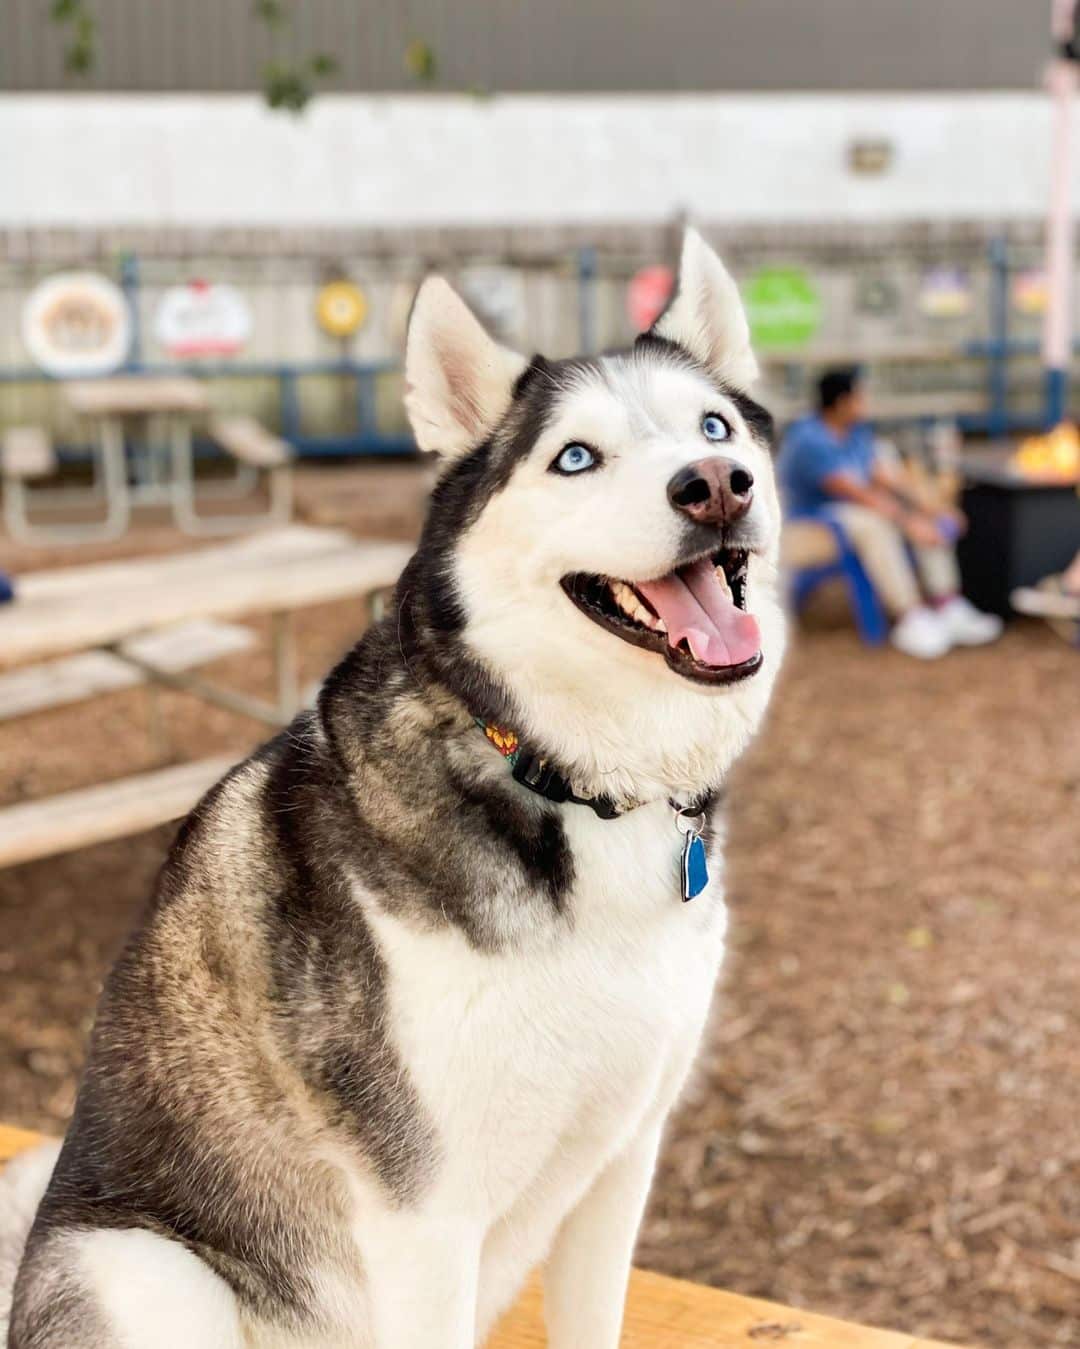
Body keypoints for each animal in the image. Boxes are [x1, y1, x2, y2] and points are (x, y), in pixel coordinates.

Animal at [0, 232, 782, 1349]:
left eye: (715, 427)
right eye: (574, 457)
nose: (716, 484)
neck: (567, 777)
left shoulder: (619, 1161)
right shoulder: (424, 1218)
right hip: (141, 1270)